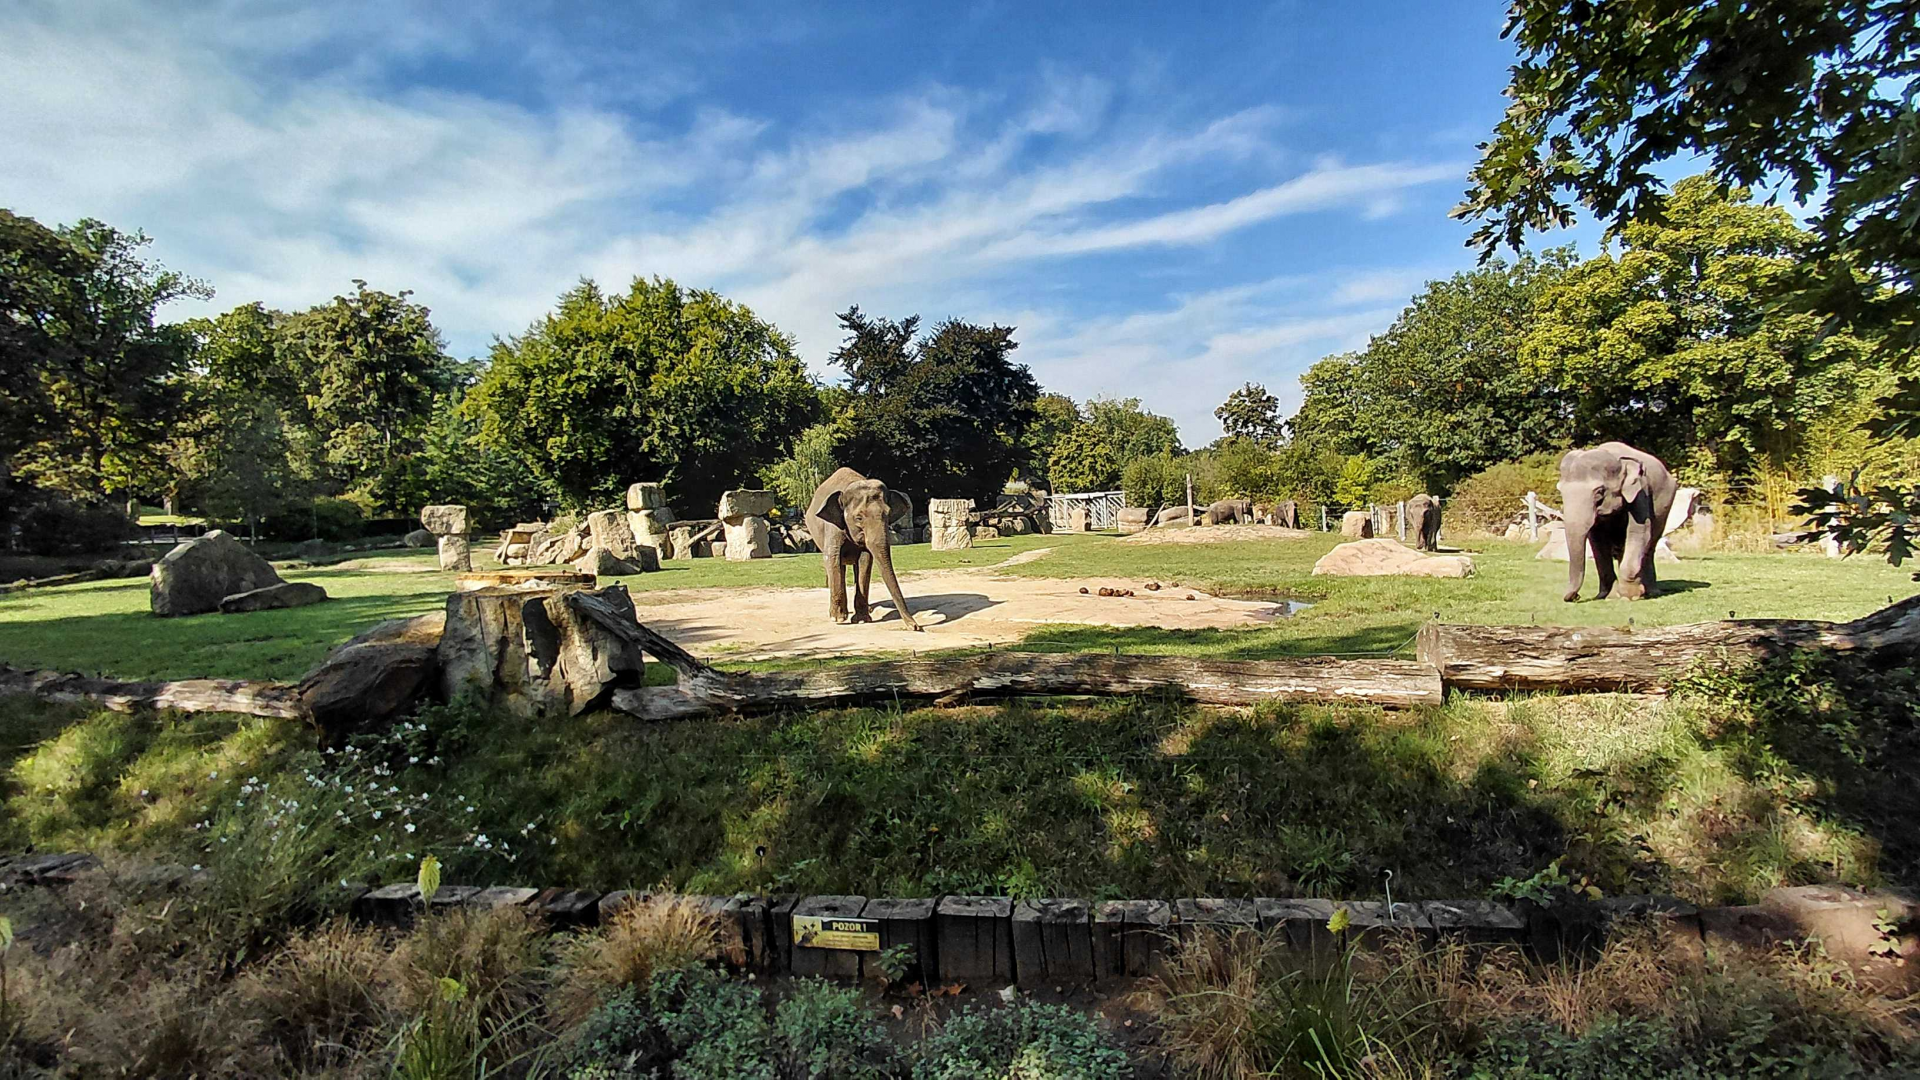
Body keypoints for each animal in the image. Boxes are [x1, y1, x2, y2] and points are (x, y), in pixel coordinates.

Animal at [805, 467, 920, 629]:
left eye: (888, 514)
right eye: (859, 518)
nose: (915, 626)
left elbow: (865, 561)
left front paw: (862, 620)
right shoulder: (832, 527)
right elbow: (832, 558)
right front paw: (838, 619)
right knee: (838, 566)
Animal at [1557, 442, 1677, 602]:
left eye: (1599, 492)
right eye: (1560, 491)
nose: (1576, 596)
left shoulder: (1641, 491)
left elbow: (1639, 532)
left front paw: (1631, 596)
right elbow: (1598, 541)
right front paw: (1608, 596)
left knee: (1650, 545)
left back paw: (1650, 592)